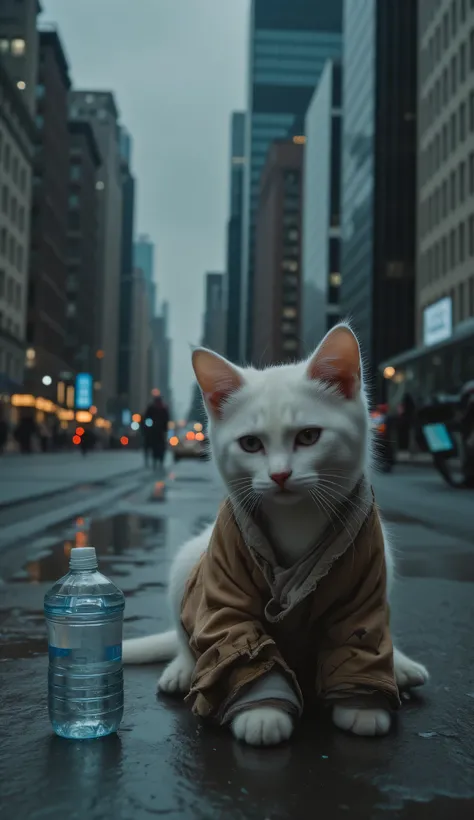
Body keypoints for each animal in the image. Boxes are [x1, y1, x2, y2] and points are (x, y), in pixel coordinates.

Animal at [123, 324, 430, 748]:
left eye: (309, 436)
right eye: (251, 444)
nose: (280, 475)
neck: (295, 518)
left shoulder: (366, 574)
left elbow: (361, 637)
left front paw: (364, 706)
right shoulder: (224, 582)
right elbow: (238, 643)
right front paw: (262, 712)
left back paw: (399, 665)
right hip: (188, 561)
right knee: (189, 638)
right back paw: (182, 670)